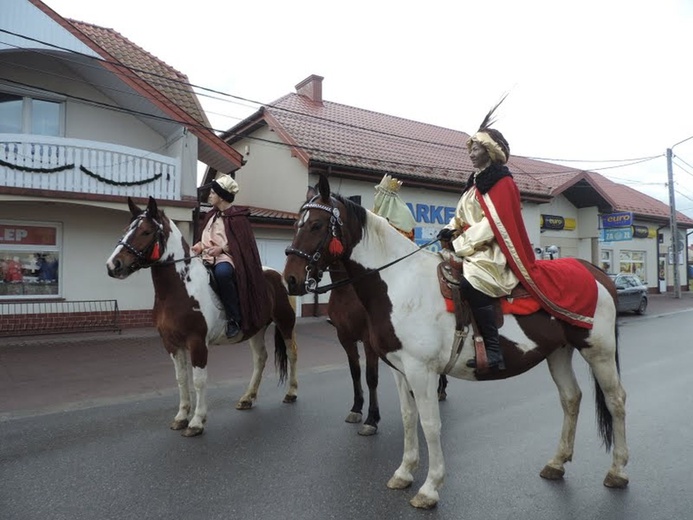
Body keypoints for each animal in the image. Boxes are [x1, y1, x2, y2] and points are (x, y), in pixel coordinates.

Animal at [106, 197, 298, 436]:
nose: (113, 265)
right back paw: (247, 398)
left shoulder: (197, 343)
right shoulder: (171, 344)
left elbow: (198, 380)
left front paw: (197, 421)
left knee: (292, 354)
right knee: (260, 359)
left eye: (146, 231)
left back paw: (291, 393)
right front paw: (181, 417)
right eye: (127, 230)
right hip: (256, 329)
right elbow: (181, 379)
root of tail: (278, 275)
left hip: (285, 323)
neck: (181, 287)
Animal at [284, 177, 628, 510]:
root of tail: (596, 272)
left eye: (316, 225)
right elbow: (408, 419)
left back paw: (617, 471)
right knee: (571, 399)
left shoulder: (422, 371)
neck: (399, 283)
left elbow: (430, 424)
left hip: (599, 352)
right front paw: (404, 472)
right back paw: (557, 463)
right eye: (296, 224)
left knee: (616, 401)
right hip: (558, 352)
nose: (291, 279)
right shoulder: (399, 369)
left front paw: (429, 488)